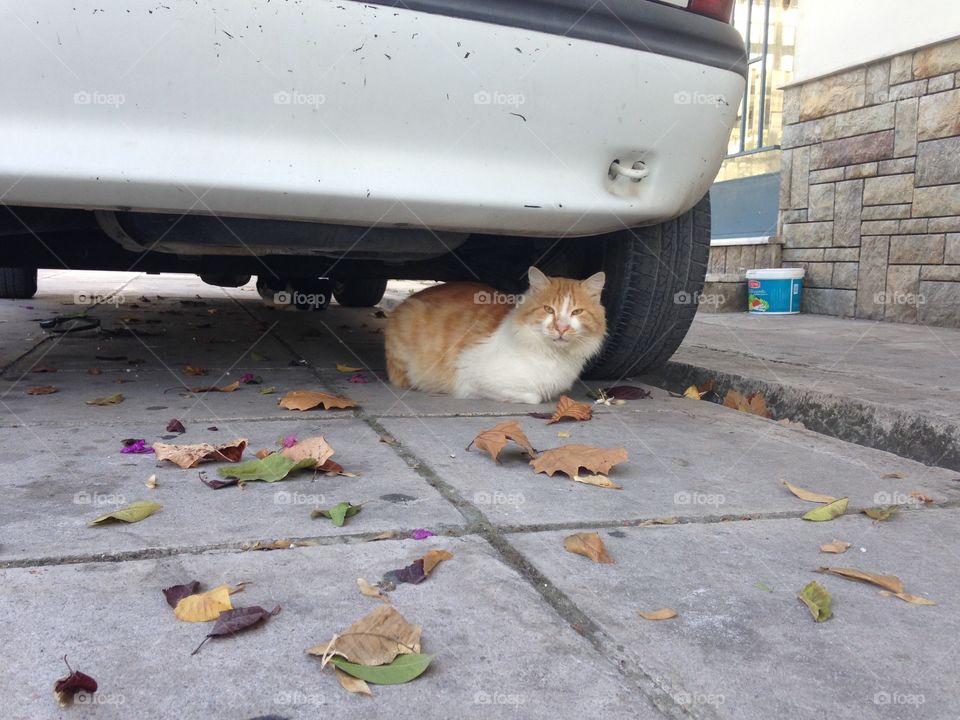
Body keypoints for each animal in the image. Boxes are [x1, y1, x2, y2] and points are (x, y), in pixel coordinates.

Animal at [384, 268, 604, 404]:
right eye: (548, 309)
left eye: (577, 312)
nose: (561, 328)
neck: (553, 355)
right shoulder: (471, 375)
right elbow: (533, 397)